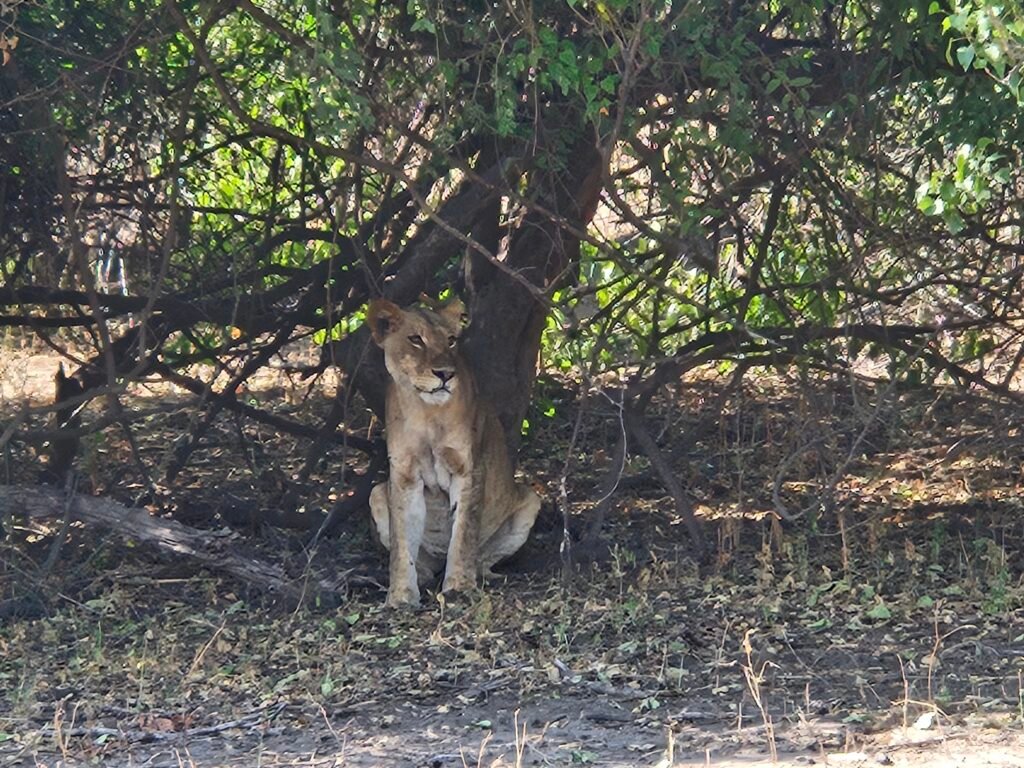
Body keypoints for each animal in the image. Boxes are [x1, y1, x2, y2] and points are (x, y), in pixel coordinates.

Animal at [366, 297, 541, 607]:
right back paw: (424, 575)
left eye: (450, 340)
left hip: (531, 499)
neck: (426, 413)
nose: (445, 374)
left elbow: (463, 533)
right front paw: (400, 596)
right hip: (376, 492)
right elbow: (401, 541)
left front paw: (459, 586)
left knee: (482, 557)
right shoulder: (403, 475)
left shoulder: (468, 469)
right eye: (416, 339)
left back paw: (478, 575)